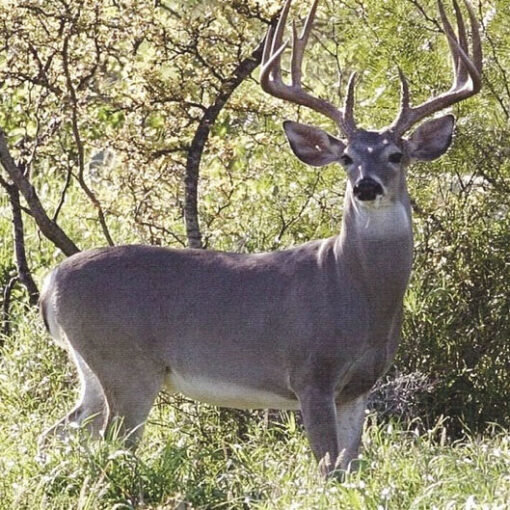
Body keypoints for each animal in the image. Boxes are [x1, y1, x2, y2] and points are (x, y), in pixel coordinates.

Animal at [39, 0, 482, 478]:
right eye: (346, 157)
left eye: (396, 155)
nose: (366, 186)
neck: (354, 287)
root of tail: (51, 283)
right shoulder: (311, 372)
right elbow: (327, 467)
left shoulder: (359, 387)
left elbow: (351, 465)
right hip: (125, 364)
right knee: (112, 443)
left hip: (92, 369)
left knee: (59, 431)